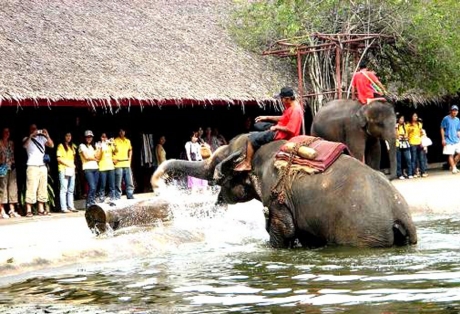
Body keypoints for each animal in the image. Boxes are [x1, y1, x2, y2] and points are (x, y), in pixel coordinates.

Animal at [152, 134, 416, 249]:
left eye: (219, 169)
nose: (157, 187)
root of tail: (400, 216)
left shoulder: (275, 190)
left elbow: (283, 228)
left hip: (360, 232)